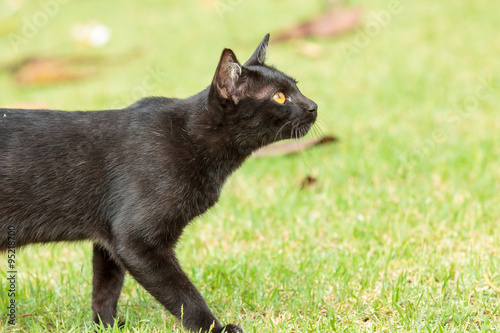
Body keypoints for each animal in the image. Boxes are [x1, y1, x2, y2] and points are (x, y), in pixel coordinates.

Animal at [0, 34, 318, 332]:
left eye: (297, 87)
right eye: (280, 97)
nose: (314, 105)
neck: (193, 138)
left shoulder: (109, 236)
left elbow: (106, 287)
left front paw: (106, 325)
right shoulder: (135, 239)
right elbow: (184, 295)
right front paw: (213, 327)